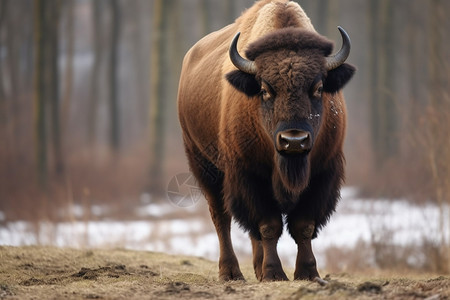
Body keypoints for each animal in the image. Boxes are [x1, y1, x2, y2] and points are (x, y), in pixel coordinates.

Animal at [176, 0, 356, 282]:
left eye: (318, 88)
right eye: (265, 90)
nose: (294, 140)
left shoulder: (323, 173)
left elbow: (303, 225)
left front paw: (307, 272)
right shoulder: (249, 175)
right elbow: (268, 225)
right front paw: (274, 273)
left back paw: (257, 269)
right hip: (203, 164)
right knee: (221, 217)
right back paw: (231, 272)